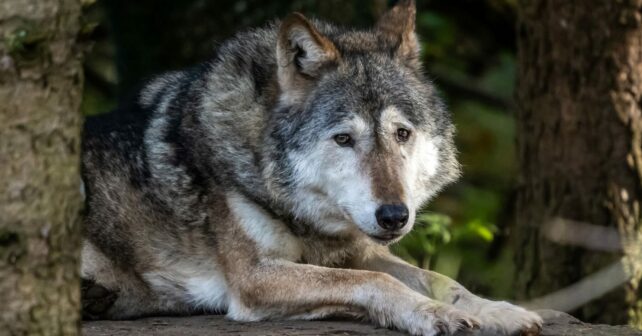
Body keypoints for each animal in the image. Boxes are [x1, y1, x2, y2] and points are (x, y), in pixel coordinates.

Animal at [79, 1, 540, 334]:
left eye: (401, 133)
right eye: (344, 138)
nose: (394, 216)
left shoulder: (362, 251)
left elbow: (442, 280)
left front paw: (500, 311)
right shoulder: (255, 277)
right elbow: (372, 283)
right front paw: (432, 314)